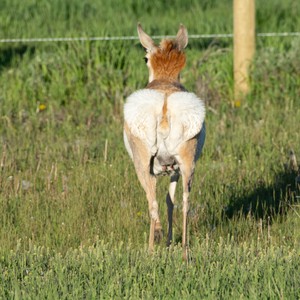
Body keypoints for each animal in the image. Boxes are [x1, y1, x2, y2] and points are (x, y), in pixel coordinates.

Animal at [123, 23, 205, 258]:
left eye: (145, 57)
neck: (166, 80)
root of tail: (165, 106)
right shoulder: (175, 170)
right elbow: (171, 201)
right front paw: (170, 242)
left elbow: (161, 201)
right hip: (187, 163)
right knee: (185, 201)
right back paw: (185, 250)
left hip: (142, 164)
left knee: (151, 200)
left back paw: (152, 247)